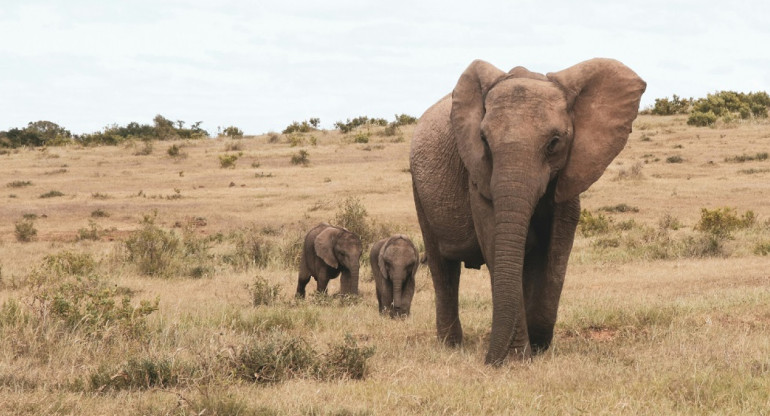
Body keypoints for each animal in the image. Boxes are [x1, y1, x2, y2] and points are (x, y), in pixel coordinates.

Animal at [412, 57, 644, 364]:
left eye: (554, 142)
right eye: (484, 140)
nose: (489, 360)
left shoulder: (569, 172)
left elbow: (557, 248)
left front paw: (538, 345)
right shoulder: (478, 174)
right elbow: (494, 238)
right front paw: (518, 358)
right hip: (418, 188)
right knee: (443, 269)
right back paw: (451, 346)